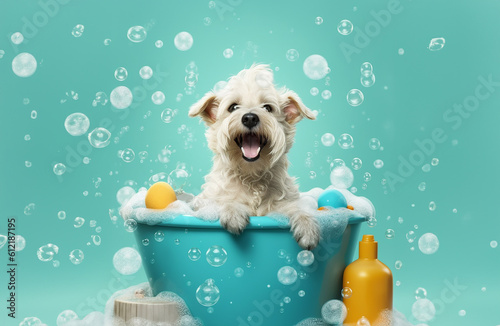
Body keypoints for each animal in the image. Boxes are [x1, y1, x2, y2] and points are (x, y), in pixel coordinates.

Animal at [188, 65, 320, 251]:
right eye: (233, 107)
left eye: (268, 108)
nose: (250, 118)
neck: (251, 176)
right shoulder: (206, 202)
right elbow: (223, 201)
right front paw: (233, 210)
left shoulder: (281, 205)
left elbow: (297, 209)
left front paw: (308, 226)